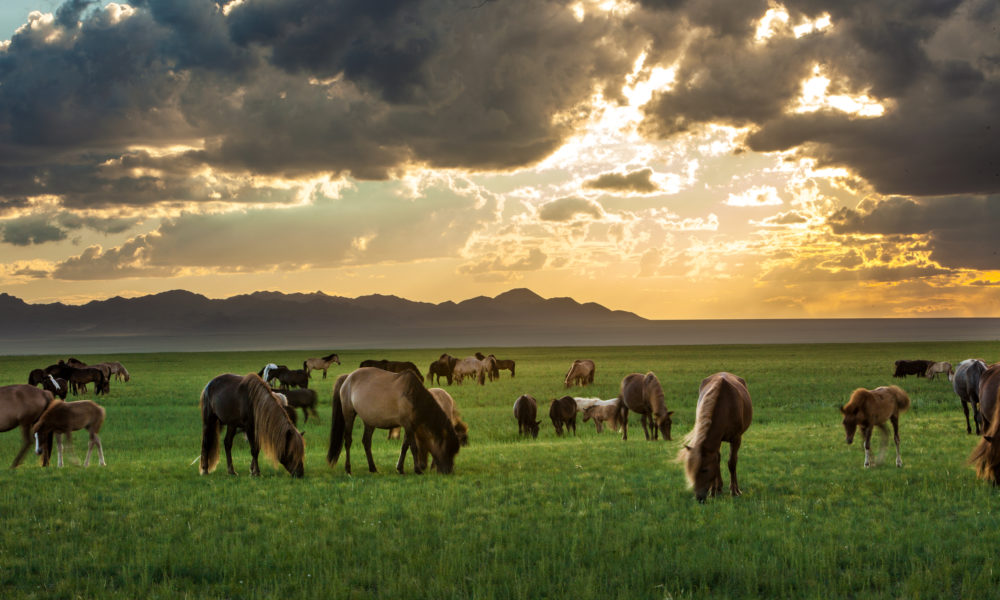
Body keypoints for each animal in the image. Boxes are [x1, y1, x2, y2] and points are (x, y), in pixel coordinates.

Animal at [328, 368, 460, 476]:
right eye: (447, 448)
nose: (448, 471)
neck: (413, 395)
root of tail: (348, 377)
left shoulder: (410, 426)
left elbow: (405, 446)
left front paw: (400, 468)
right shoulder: (408, 425)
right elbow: (413, 447)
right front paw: (417, 470)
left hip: (369, 421)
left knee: (366, 442)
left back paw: (373, 468)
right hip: (349, 414)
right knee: (348, 441)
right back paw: (348, 469)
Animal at [676, 370, 752, 502]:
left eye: (704, 470)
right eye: (691, 470)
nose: (699, 498)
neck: (726, 405)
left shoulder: (736, 439)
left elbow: (732, 463)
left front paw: (735, 491)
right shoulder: (716, 441)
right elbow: (716, 462)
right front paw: (714, 491)